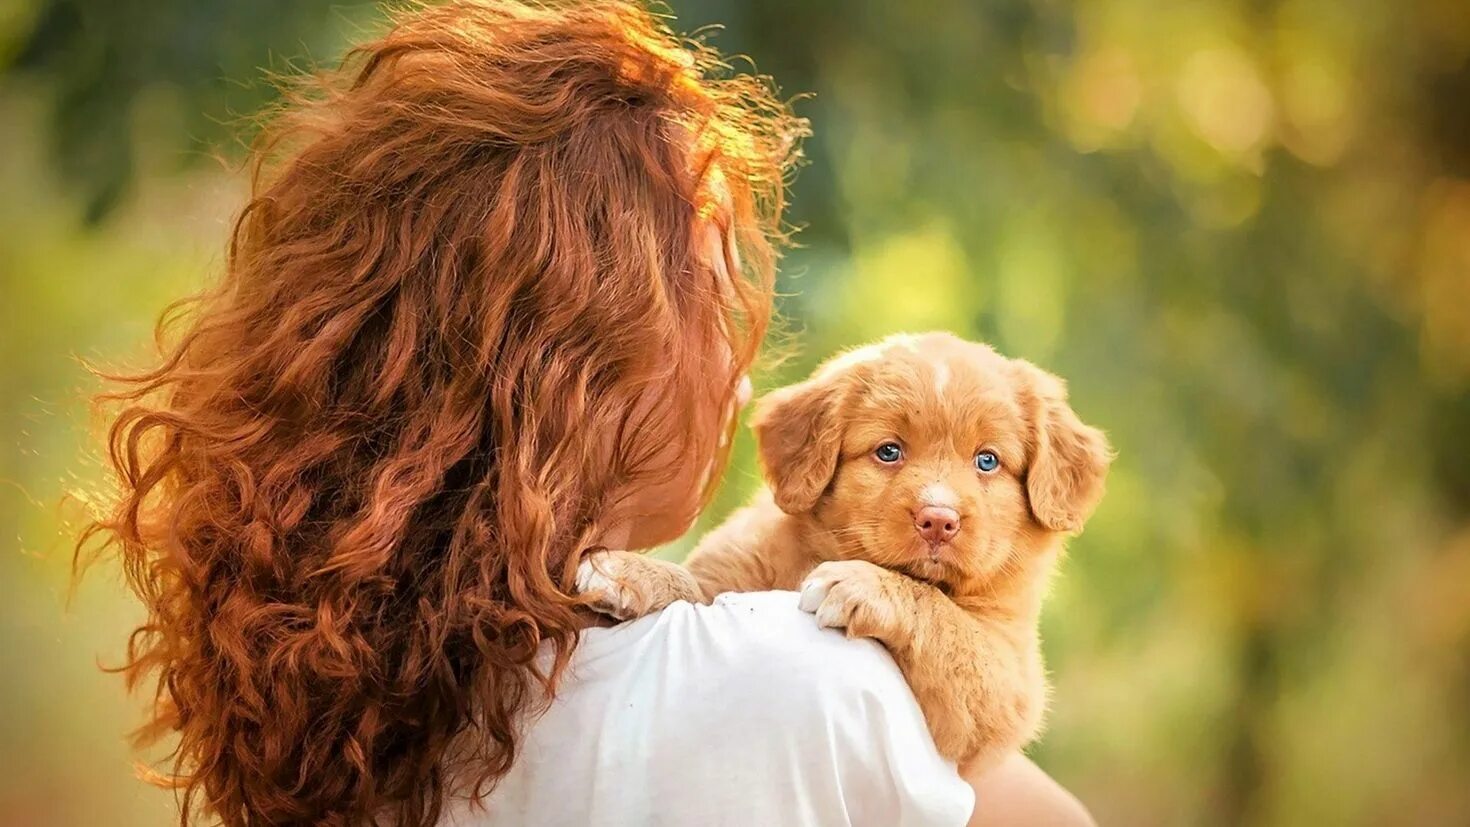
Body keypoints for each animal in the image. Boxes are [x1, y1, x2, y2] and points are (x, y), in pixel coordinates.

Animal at [579, 331, 1105, 769]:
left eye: (988, 461)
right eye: (889, 451)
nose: (939, 520)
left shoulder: (1007, 680)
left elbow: (947, 623)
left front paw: (862, 584)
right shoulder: (733, 570)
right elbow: (697, 584)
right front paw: (629, 570)